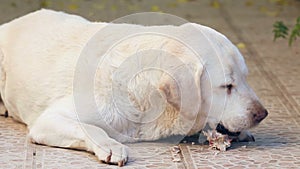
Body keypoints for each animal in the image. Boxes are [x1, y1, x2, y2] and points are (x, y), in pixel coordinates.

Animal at [0, 9, 268, 166]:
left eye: (246, 77)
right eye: (227, 86)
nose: (262, 114)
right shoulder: (50, 119)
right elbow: (91, 129)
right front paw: (111, 146)